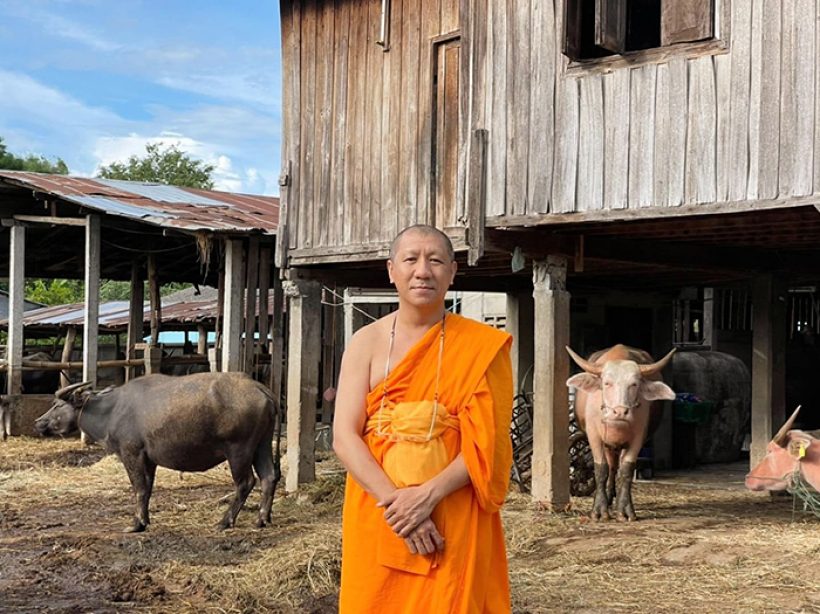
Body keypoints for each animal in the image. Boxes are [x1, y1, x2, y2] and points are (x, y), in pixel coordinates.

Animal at [34, 372, 282, 532]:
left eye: (57, 405)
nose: (38, 422)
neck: (112, 409)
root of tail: (261, 389)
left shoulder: (131, 454)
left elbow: (139, 489)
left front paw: (136, 524)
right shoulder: (149, 460)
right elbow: (148, 490)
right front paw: (145, 520)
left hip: (238, 450)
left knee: (246, 482)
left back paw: (225, 521)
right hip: (261, 445)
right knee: (269, 477)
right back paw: (262, 518)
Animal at [568, 344, 676, 524]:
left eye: (634, 384)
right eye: (607, 383)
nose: (620, 412)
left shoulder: (638, 438)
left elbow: (626, 471)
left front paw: (625, 510)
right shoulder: (594, 437)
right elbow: (601, 470)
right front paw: (599, 510)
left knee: (617, 468)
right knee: (611, 467)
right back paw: (609, 496)